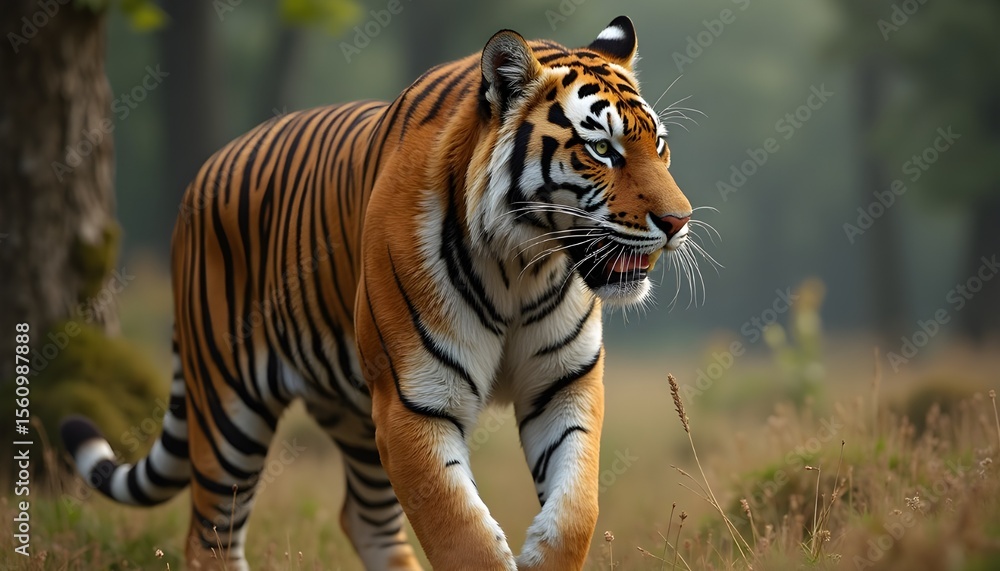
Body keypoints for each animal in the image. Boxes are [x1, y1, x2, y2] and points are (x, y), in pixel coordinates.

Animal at [61, 15, 697, 571]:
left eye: (660, 145)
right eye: (602, 149)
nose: (679, 221)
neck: (523, 267)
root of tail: (204, 171)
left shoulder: (565, 385)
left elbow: (575, 512)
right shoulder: (415, 402)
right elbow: (462, 534)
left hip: (354, 414)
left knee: (366, 521)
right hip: (228, 407)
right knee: (209, 537)